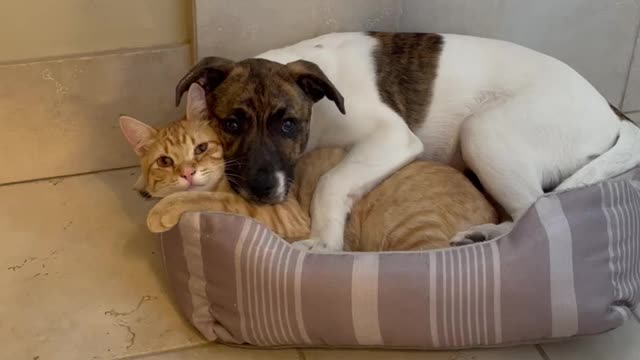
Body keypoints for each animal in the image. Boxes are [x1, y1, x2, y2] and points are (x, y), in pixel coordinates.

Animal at [121, 83, 500, 250]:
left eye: (200, 149)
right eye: (165, 161)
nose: (187, 173)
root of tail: (489, 207)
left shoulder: (272, 213)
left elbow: (209, 200)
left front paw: (162, 211)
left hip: (413, 229)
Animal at [174, 32, 640, 252]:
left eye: (288, 125)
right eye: (232, 123)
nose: (261, 188)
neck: (321, 109)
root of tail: (612, 112)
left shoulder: (393, 137)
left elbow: (331, 182)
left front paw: (325, 241)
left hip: (484, 131)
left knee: (534, 210)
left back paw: (485, 236)